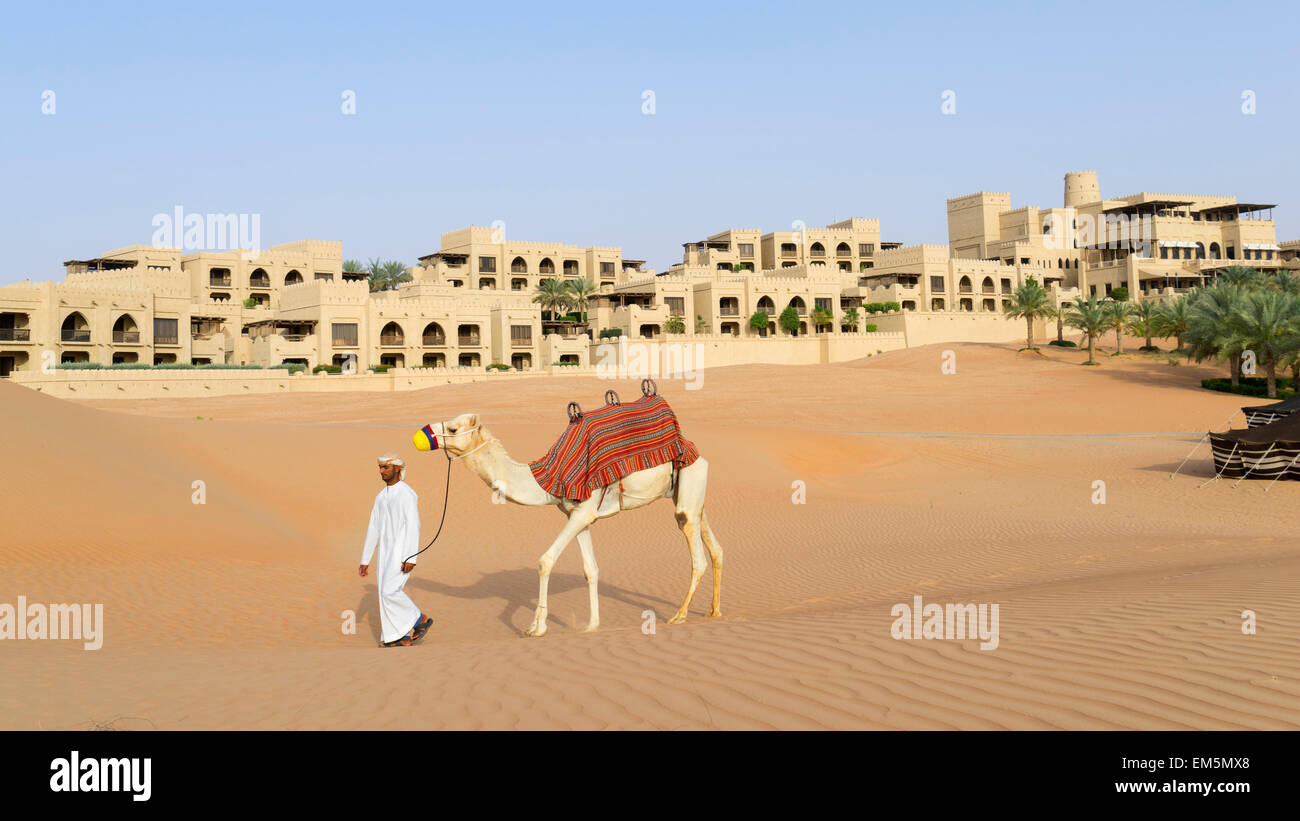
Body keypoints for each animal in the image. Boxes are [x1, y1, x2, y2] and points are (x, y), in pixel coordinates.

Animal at [416, 413, 722, 639]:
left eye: (453, 428)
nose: (423, 432)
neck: (545, 479)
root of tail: (698, 452)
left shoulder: (583, 511)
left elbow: (545, 560)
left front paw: (536, 627)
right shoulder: (577, 516)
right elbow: (590, 569)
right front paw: (591, 625)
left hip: (687, 490)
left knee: (696, 553)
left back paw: (679, 615)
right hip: (691, 492)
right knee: (715, 547)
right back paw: (714, 612)